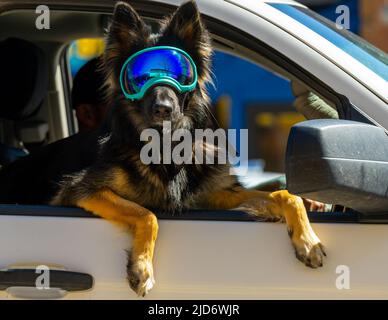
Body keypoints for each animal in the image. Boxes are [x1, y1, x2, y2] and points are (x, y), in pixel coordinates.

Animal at [0, 0, 324, 296]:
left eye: (180, 74)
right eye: (140, 77)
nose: (163, 108)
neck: (165, 146)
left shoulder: (212, 194)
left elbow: (286, 195)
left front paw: (308, 240)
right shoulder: (79, 190)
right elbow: (147, 214)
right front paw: (142, 268)